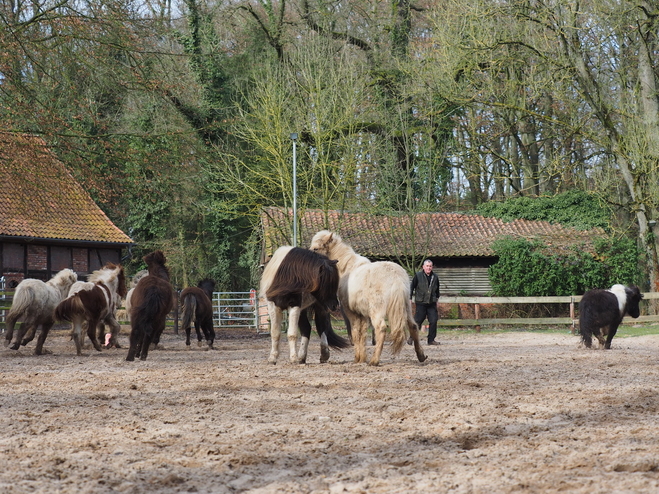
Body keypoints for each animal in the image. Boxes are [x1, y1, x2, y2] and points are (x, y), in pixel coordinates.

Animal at [312, 230, 430, 364]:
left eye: (316, 248)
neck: (347, 268)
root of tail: (396, 278)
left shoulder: (351, 312)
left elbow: (355, 332)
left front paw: (357, 358)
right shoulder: (362, 314)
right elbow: (362, 333)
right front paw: (361, 358)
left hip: (377, 310)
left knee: (381, 328)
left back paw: (374, 360)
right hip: (406, 307)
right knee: (413, 326)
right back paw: (421, 356)